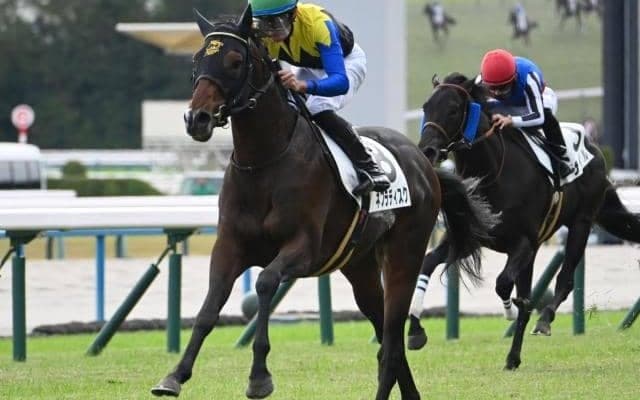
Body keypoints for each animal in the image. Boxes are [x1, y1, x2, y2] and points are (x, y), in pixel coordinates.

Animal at [150, 8, 497, 400]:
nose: (197, 119)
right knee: (385, 336)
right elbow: (209, 308)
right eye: (197, 60)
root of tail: (425, 163)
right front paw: (174, 376)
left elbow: (265, 283)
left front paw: (259, 376)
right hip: (359, 266)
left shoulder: (304, 248)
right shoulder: (229, 245)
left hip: (404, 256)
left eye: (235, 61)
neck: (265, 161)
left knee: (392, 341)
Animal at [406, 72, 640, 370]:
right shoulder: (471, 237)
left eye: (454, 110)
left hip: (581, 223)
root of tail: (595, 149)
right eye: (426, 107)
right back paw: (513, 357)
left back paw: (544, 320)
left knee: (563, 280)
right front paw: (415, 331)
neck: (494, 173)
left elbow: (504, 284)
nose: (427, 150)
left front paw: (508, 310)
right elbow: (427, 263)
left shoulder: (524, 243)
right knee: (531, 297)